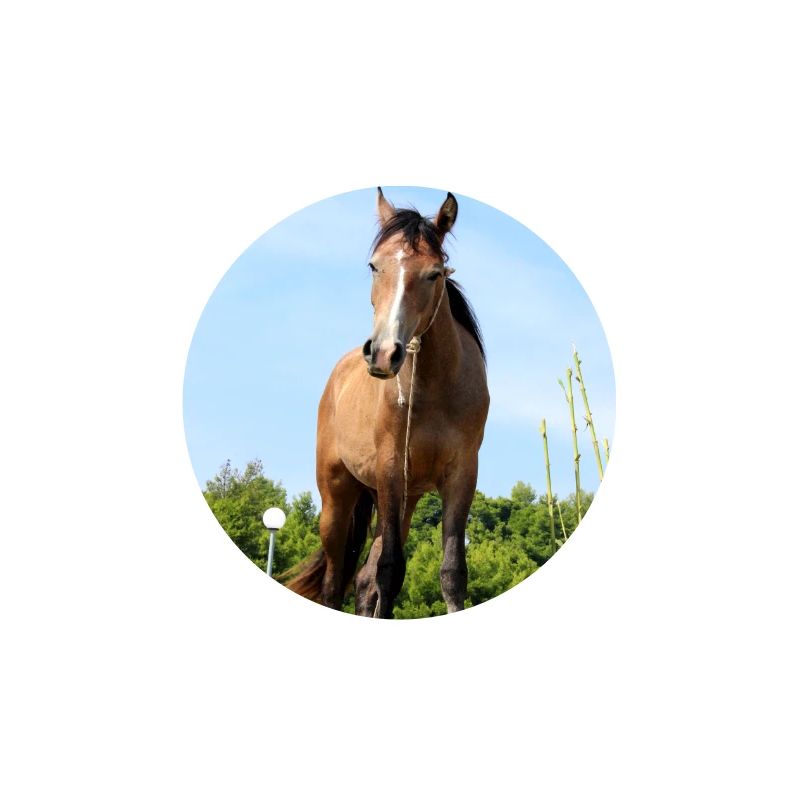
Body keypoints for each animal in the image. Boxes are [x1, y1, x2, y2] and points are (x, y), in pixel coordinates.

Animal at [283, 188, 489, 618]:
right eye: (374, 266)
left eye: (434, 273)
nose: (382, 353)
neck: (434, 390)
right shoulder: (392, 469)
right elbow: (391, 571)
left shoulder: (461, 474)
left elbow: (451, 572)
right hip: (338, 498)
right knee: (335, 582)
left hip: (402, 500)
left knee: (363, 581)